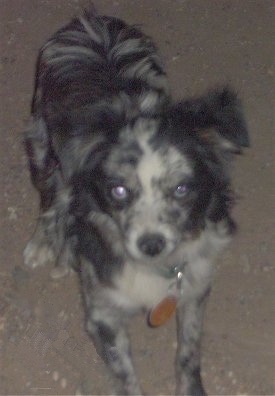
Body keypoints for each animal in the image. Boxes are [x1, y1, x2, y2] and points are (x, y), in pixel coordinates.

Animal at [24, 7, 250, 394]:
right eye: (118, 191)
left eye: (182, 189)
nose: (151, 244)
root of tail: (90, 21)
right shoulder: (103, 313)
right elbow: (125, 376)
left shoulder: (195, 288)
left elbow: (188, 353)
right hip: (41, 146)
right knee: (48, 196)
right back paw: (43, 242)